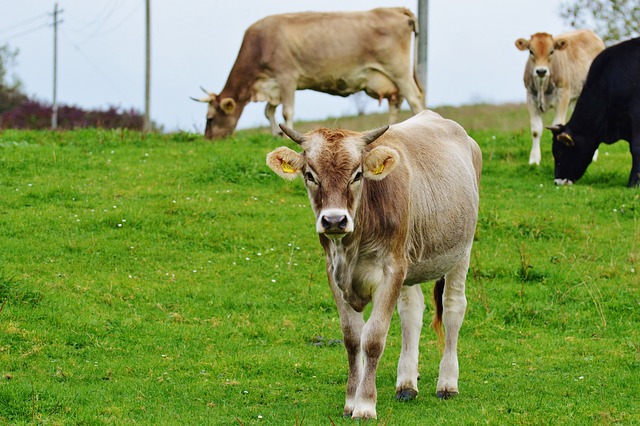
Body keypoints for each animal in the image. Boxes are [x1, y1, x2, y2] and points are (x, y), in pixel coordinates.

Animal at [192, 7, 428, 140]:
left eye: (210, 119)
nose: (208, 140)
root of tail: (395, 9)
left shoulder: (287, 77)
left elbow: (286, 111)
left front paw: (286, 134)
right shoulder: (274, 85)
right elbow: (268, 111)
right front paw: (277, 133)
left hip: (399, 71)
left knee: (415, 99)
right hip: (391, 81)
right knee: (396, 103)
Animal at [264, 110, 480, 420]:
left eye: (357, 174)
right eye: (310, 175)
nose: (334, 220)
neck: (351, 248)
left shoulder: (391, 271)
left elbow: (374, 339)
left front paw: (365, 405)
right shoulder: (334, 272)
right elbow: (352, 339)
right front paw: (350, 401)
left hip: (461, 251)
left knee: (453, 307)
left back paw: (447, 384)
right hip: (410, 260)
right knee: (412, 311)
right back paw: (406, 384)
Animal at [516, 29, 604, 165]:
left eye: (552, 51)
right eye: (531, 51)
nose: (541, 71)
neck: (543, 86)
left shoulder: (562, 97)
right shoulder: (531, 98)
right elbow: (536, 130)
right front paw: (534, 160)